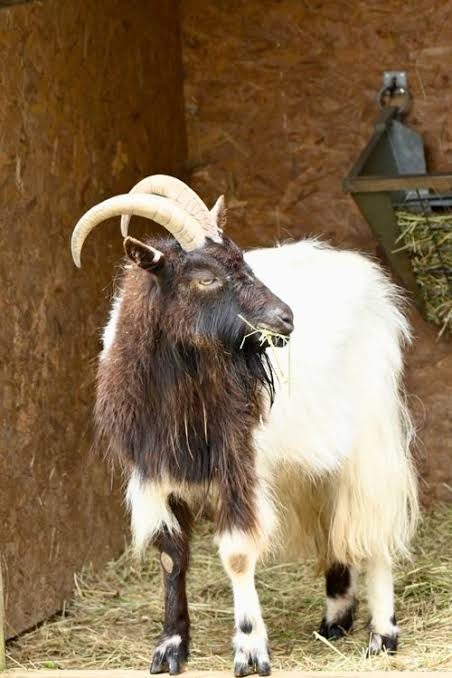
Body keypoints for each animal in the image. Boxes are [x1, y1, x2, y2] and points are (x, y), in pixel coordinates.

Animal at [71, 175, 418, 677]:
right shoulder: (154, 471)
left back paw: (382, 635)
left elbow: (236, 554)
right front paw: (170, 646)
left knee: (372, 523)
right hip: (309, 460)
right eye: (205, 277)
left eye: (242, 260)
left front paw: (250, 650)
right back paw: (335, 620)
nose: (286, 318)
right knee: (331, 521)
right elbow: (169, 554)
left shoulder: (239, 468)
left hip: (370, 434)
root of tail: (366, 275)